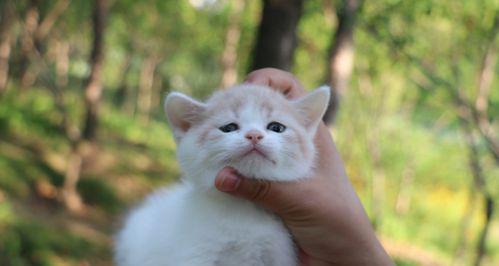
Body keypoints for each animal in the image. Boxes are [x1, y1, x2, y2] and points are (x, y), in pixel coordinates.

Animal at [115, 83, 330, 266]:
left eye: (276, 127)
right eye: (229, 127)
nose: (254, 135)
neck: (243, 211)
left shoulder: (277, 256)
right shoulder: (195, 254)